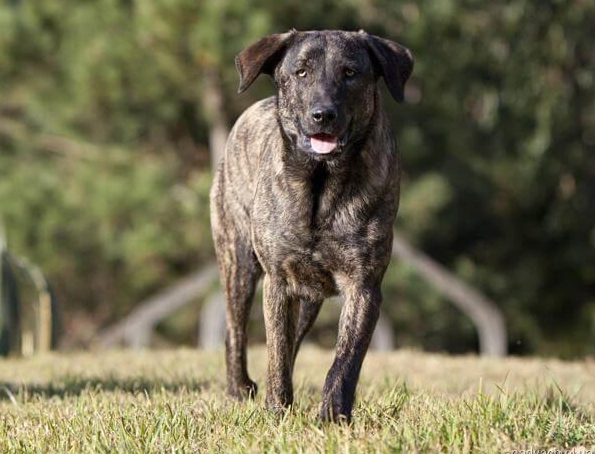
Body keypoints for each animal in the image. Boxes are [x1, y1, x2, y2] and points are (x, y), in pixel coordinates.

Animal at [211, 29, 414, 422]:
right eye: (301, 72)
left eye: (350, 72)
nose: (323, 114)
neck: (321, 186)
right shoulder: (277, 281)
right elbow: (275, 351)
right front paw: (277, 410)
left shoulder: (363, 287)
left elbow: (345, 360)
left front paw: (333, 416)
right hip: (238, 263)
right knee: (235, 331)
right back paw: (239, 389)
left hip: (309, 300)